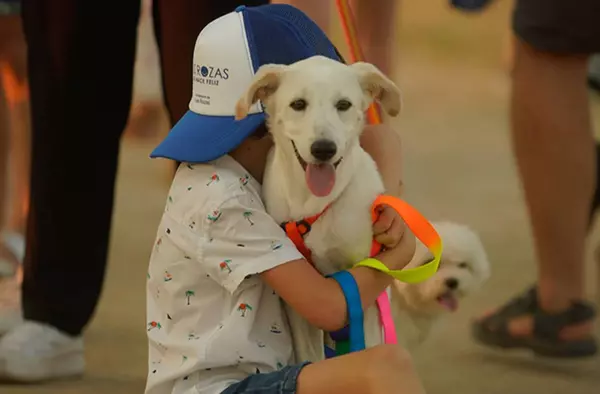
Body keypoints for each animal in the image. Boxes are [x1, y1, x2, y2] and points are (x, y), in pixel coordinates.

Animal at [236, 54, 404, 364]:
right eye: (299, 104)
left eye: (344, 105)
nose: (324, 149)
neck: (314, 205)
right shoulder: (302, 303)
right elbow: (310, 355)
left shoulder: (367, 290)